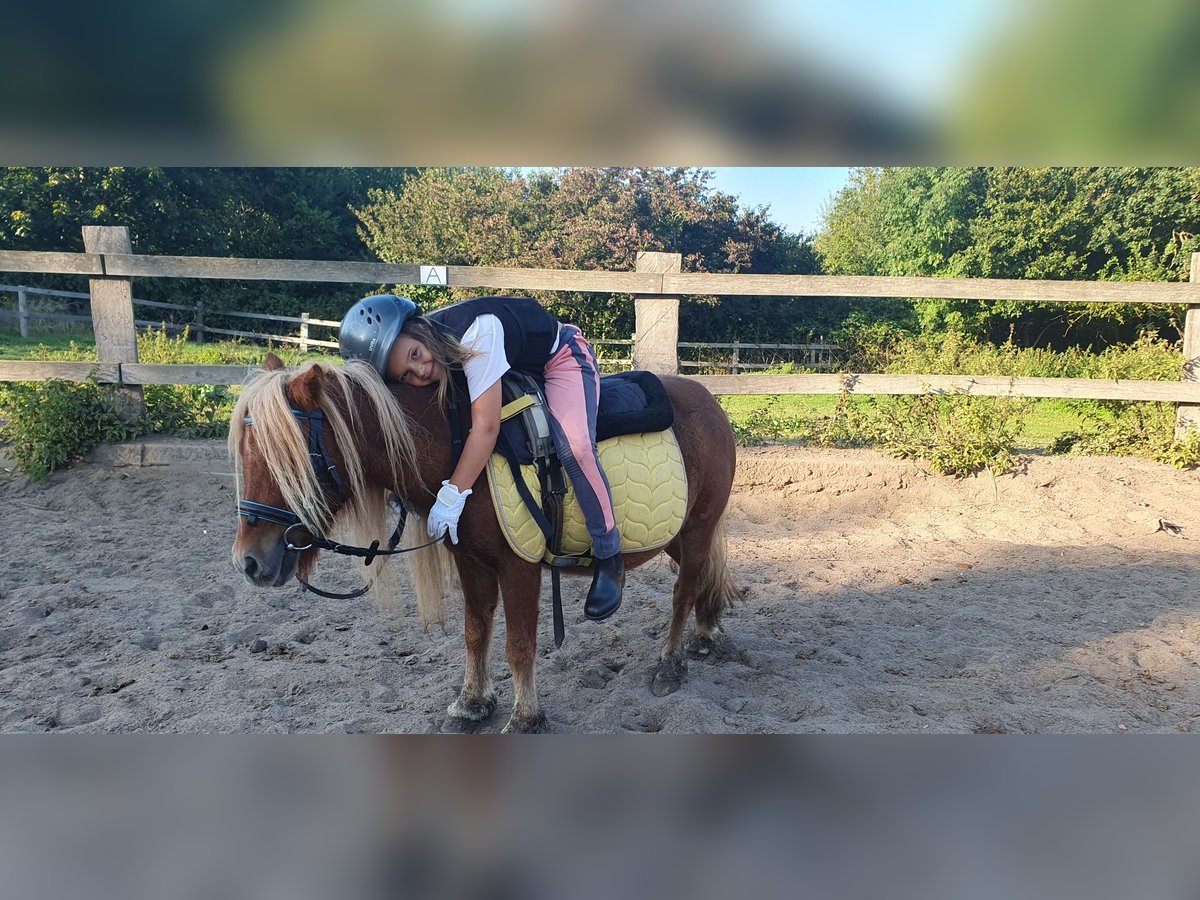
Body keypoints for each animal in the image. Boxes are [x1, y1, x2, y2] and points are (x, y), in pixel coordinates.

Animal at [228, 355, 734, 734]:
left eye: (290, 457)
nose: (248, 561)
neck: (459, 448)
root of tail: (709, 401)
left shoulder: (520, 566)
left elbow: (519, 644)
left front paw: (525, 717)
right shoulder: (470, 562)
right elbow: (476, 633)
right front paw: (472, 703)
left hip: (697, 527)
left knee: (684, 591)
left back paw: (671, 662)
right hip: (675, 535)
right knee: (705, 576)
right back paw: (706, 633)